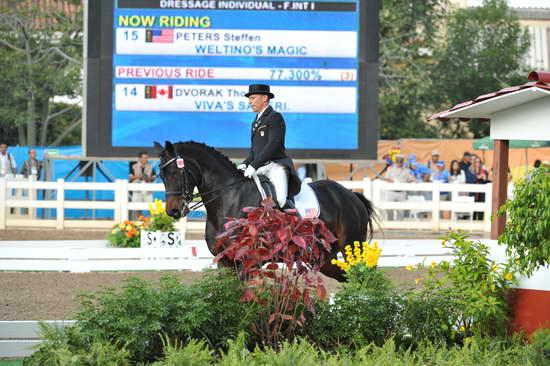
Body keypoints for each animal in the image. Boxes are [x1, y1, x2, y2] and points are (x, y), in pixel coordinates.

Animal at [157, 141, 378, 284]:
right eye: (161, 174)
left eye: (175, 172)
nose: (173, 210)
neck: (229, 198)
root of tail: (350, 195)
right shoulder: (225, 264)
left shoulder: (248, 263)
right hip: (324, 258)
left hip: (352, 247)